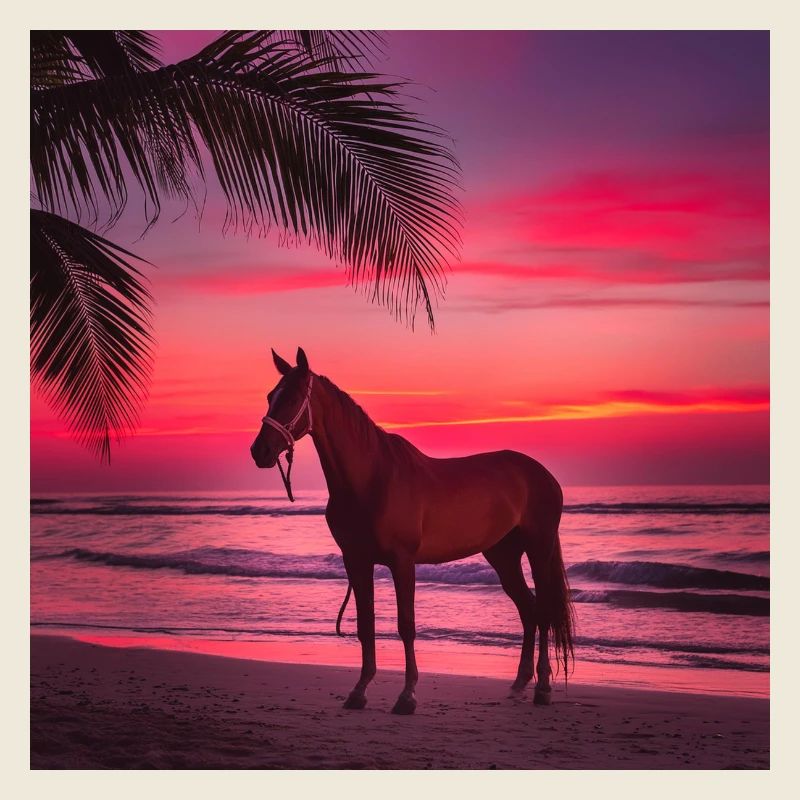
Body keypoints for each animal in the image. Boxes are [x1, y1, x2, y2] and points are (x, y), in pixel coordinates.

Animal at [250, 347, 575, 715]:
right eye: (270, 396)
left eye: (292, 397)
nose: (259, 451)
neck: (372, 480)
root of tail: (542, 474)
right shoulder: (356, 562)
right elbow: (365, 624)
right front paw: (359, 691)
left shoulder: (402, 561)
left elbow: (406, 625)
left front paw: (407, 696)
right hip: (503, 556)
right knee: (528, 609)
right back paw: (519, 684)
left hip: (538, 548)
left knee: (544, 610)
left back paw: (543, 688)